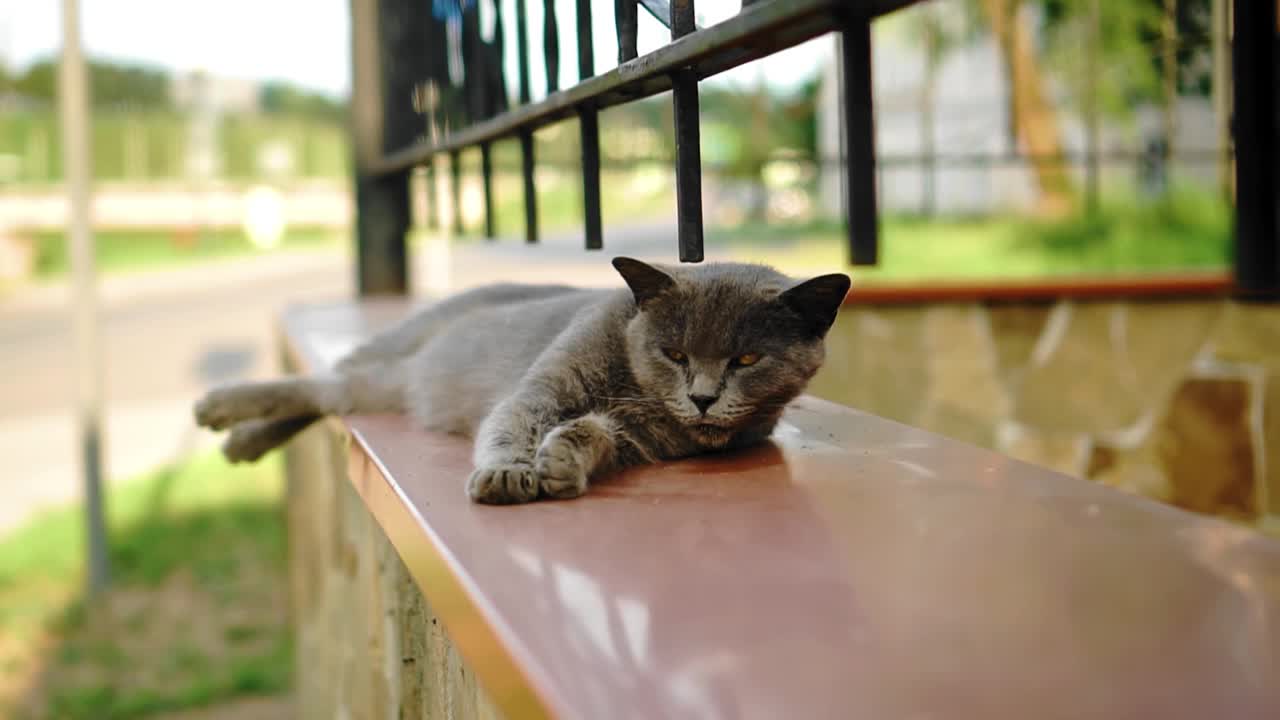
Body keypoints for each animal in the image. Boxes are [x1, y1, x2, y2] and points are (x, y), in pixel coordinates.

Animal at [192, 258, 849, 504]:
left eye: (747, 360)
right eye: (674, 352)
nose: (703, 398)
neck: (634, 387)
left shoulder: (646, 441)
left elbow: (598, 434)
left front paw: (563, 460)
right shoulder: (544, 386)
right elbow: (516, 419)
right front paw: (510, 472)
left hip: (396, 382)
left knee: (336, 398)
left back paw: (241, 440)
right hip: (401, 349)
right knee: (326, 384)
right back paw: (221, 412)